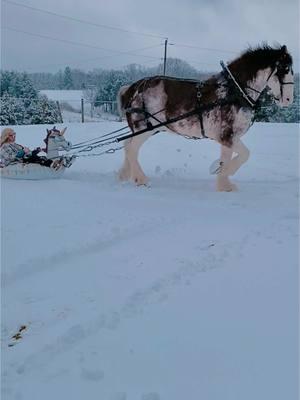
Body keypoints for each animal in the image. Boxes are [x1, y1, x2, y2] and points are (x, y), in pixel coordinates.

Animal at [117, 44, 292, 191]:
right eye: (285, 68)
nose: (289, 100)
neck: (234, 91)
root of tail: (133, 88)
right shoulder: (226, 135)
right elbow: (243, 155)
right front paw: (224, 178)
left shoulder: (229, 137)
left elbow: (231, 156)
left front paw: (222, 177)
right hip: (145, 127)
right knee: (132, 149)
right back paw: (140, 179)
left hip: (149, 129)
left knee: (127, 145)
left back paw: (123, 175)